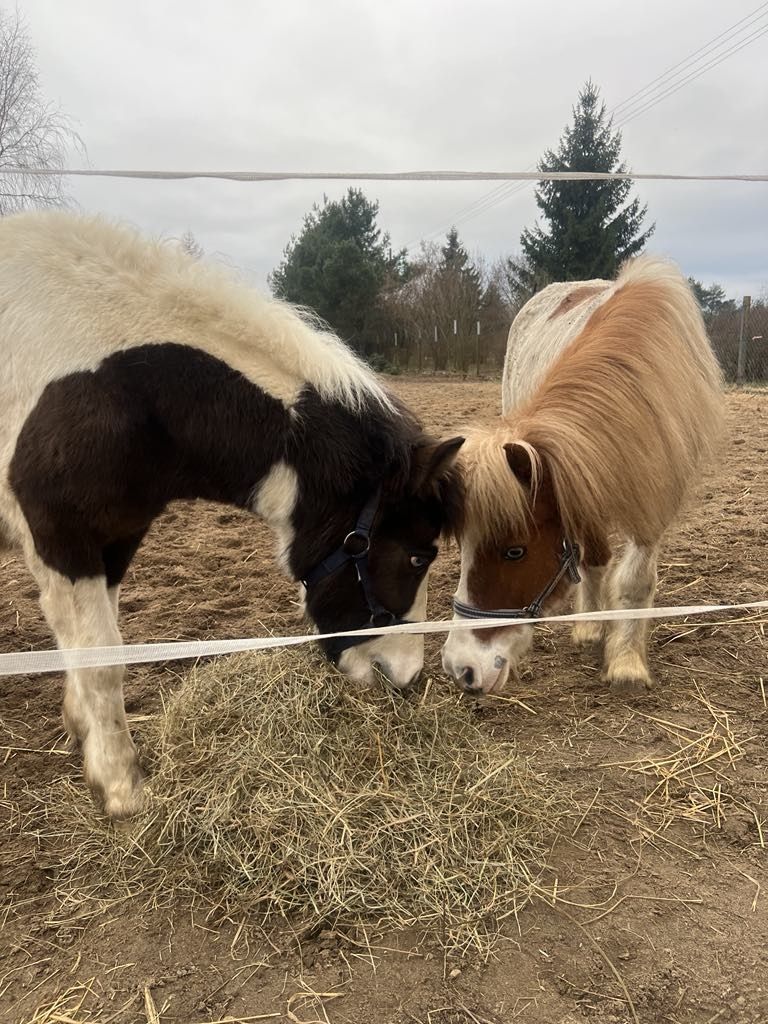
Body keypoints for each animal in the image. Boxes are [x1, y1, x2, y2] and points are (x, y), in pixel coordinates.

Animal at [0, 211, 462, 819]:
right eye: (415, 556)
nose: (407, 677)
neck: (122, 384)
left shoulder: (116, 538)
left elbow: (100, 642)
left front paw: (83, 733)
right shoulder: (63, 540)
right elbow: (101, 658)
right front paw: (121, 787)